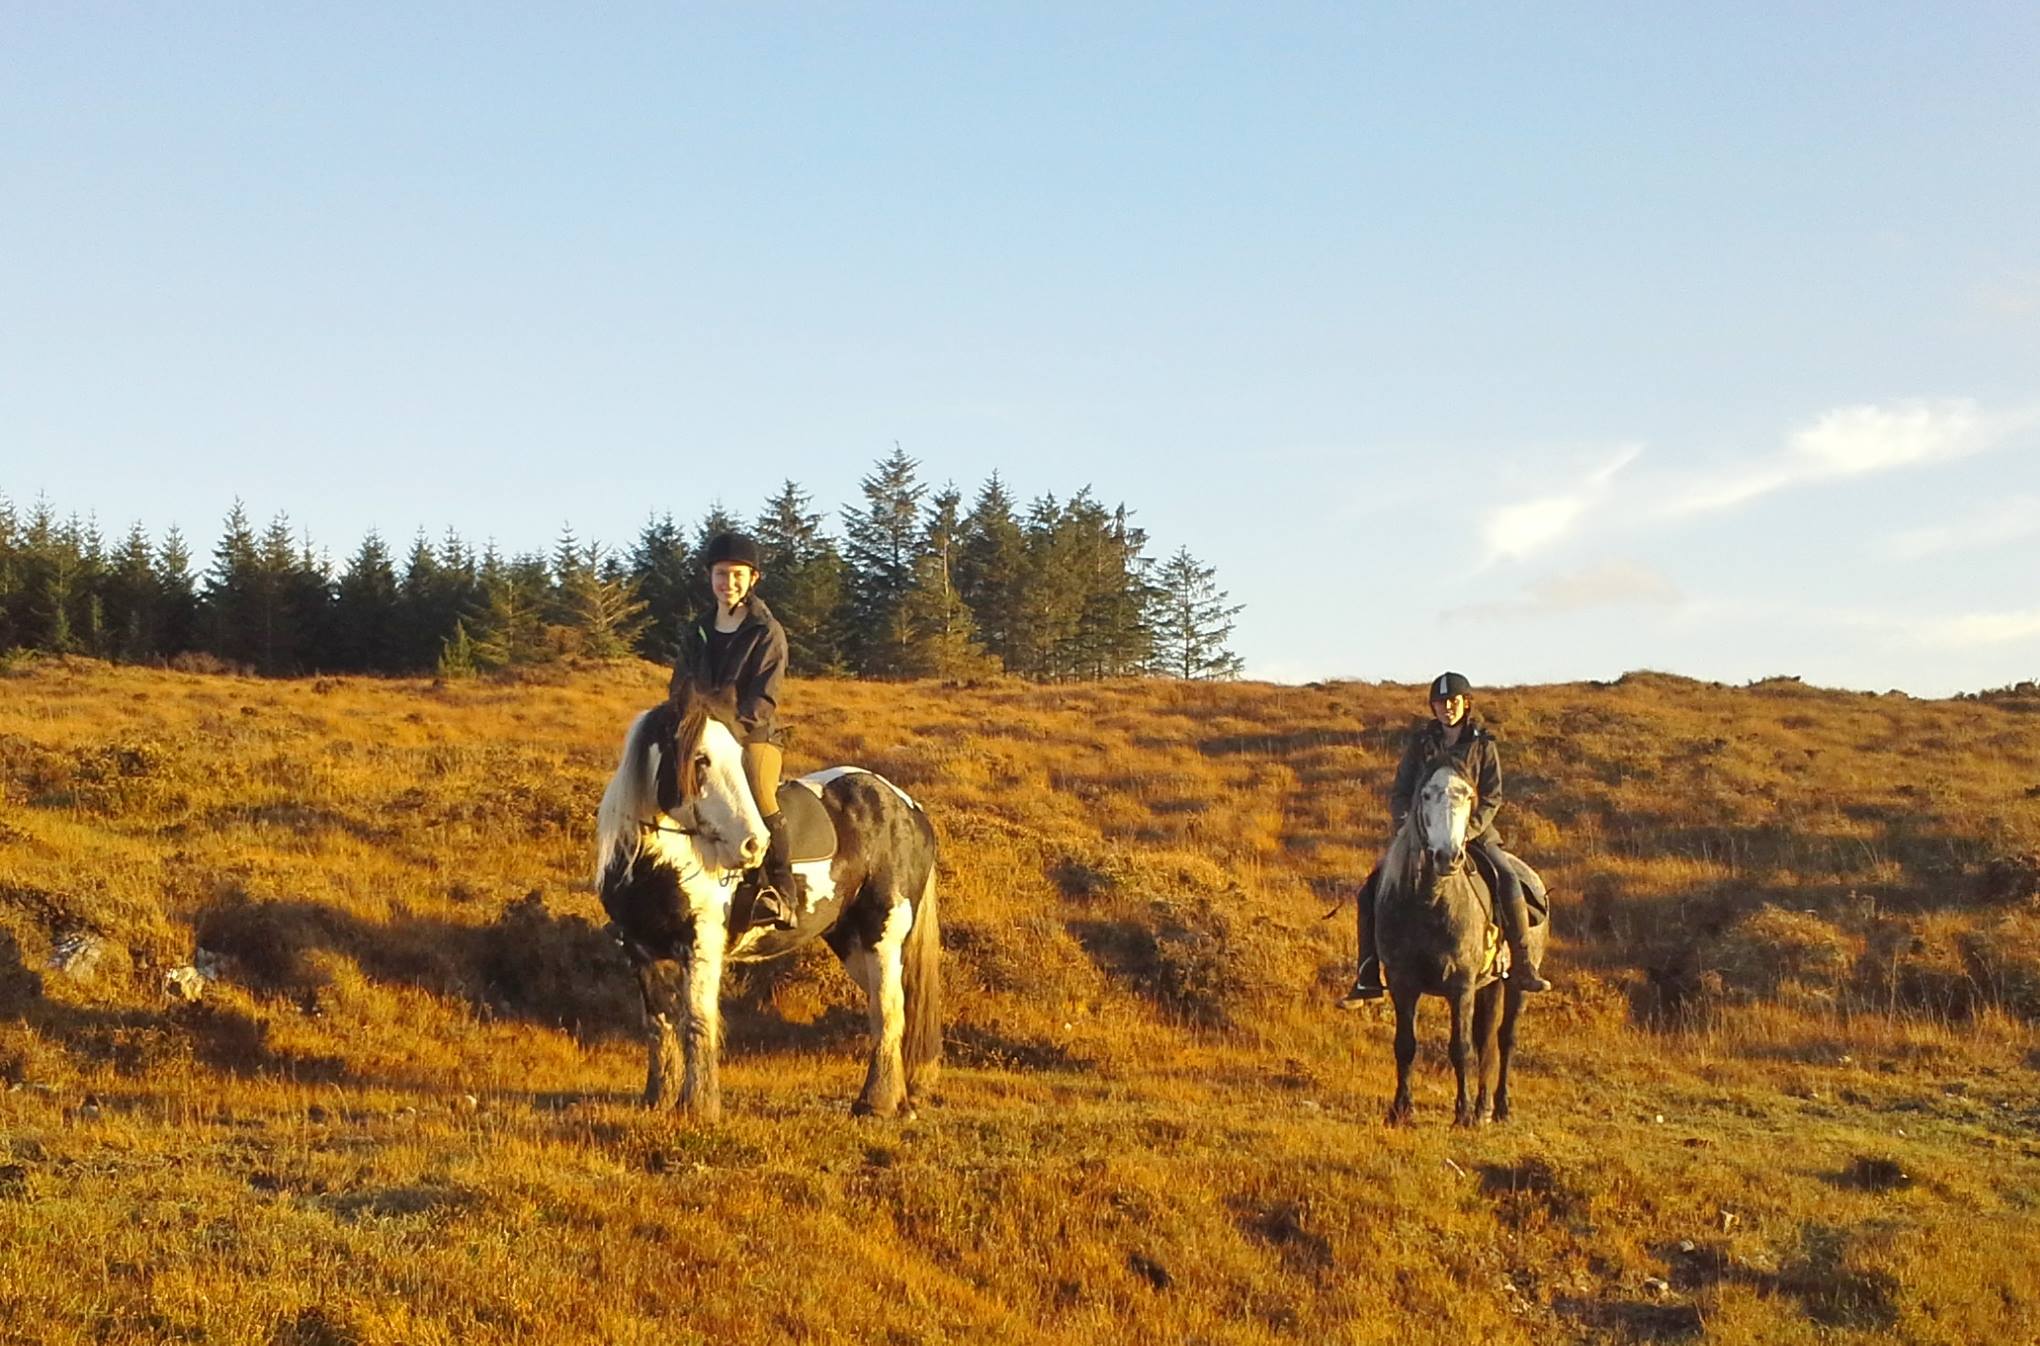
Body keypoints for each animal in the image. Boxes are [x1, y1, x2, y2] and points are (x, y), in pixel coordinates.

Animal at [592, 681, 941, 1121]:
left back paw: (874, 1103)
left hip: (883, 933)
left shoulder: (701, 945)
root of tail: (907, 806)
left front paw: (700, 1108)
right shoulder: (640, 951)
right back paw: (897, 1100)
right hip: (851, 941)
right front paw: (657, 1099)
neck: (663, 862)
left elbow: (697, 1021)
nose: (753, 844)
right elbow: (659, 1024)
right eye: (701, 758)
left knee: (888, 1010)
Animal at [1375, 760, 1547, 1127]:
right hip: (1492, 983)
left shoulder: (1461, 985)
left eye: (1469, 795)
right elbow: (1405, 1044)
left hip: (1516, 986)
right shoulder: (1402, 982)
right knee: (1487, 1040)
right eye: (1426, 794)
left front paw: (1462, 1114)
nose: (1448, 857)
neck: (1430, 903)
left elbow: (1460, 1048)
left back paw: (1500, 1107)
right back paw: (1484, 1107)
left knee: (1506, 1040)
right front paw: (1400, 1110)